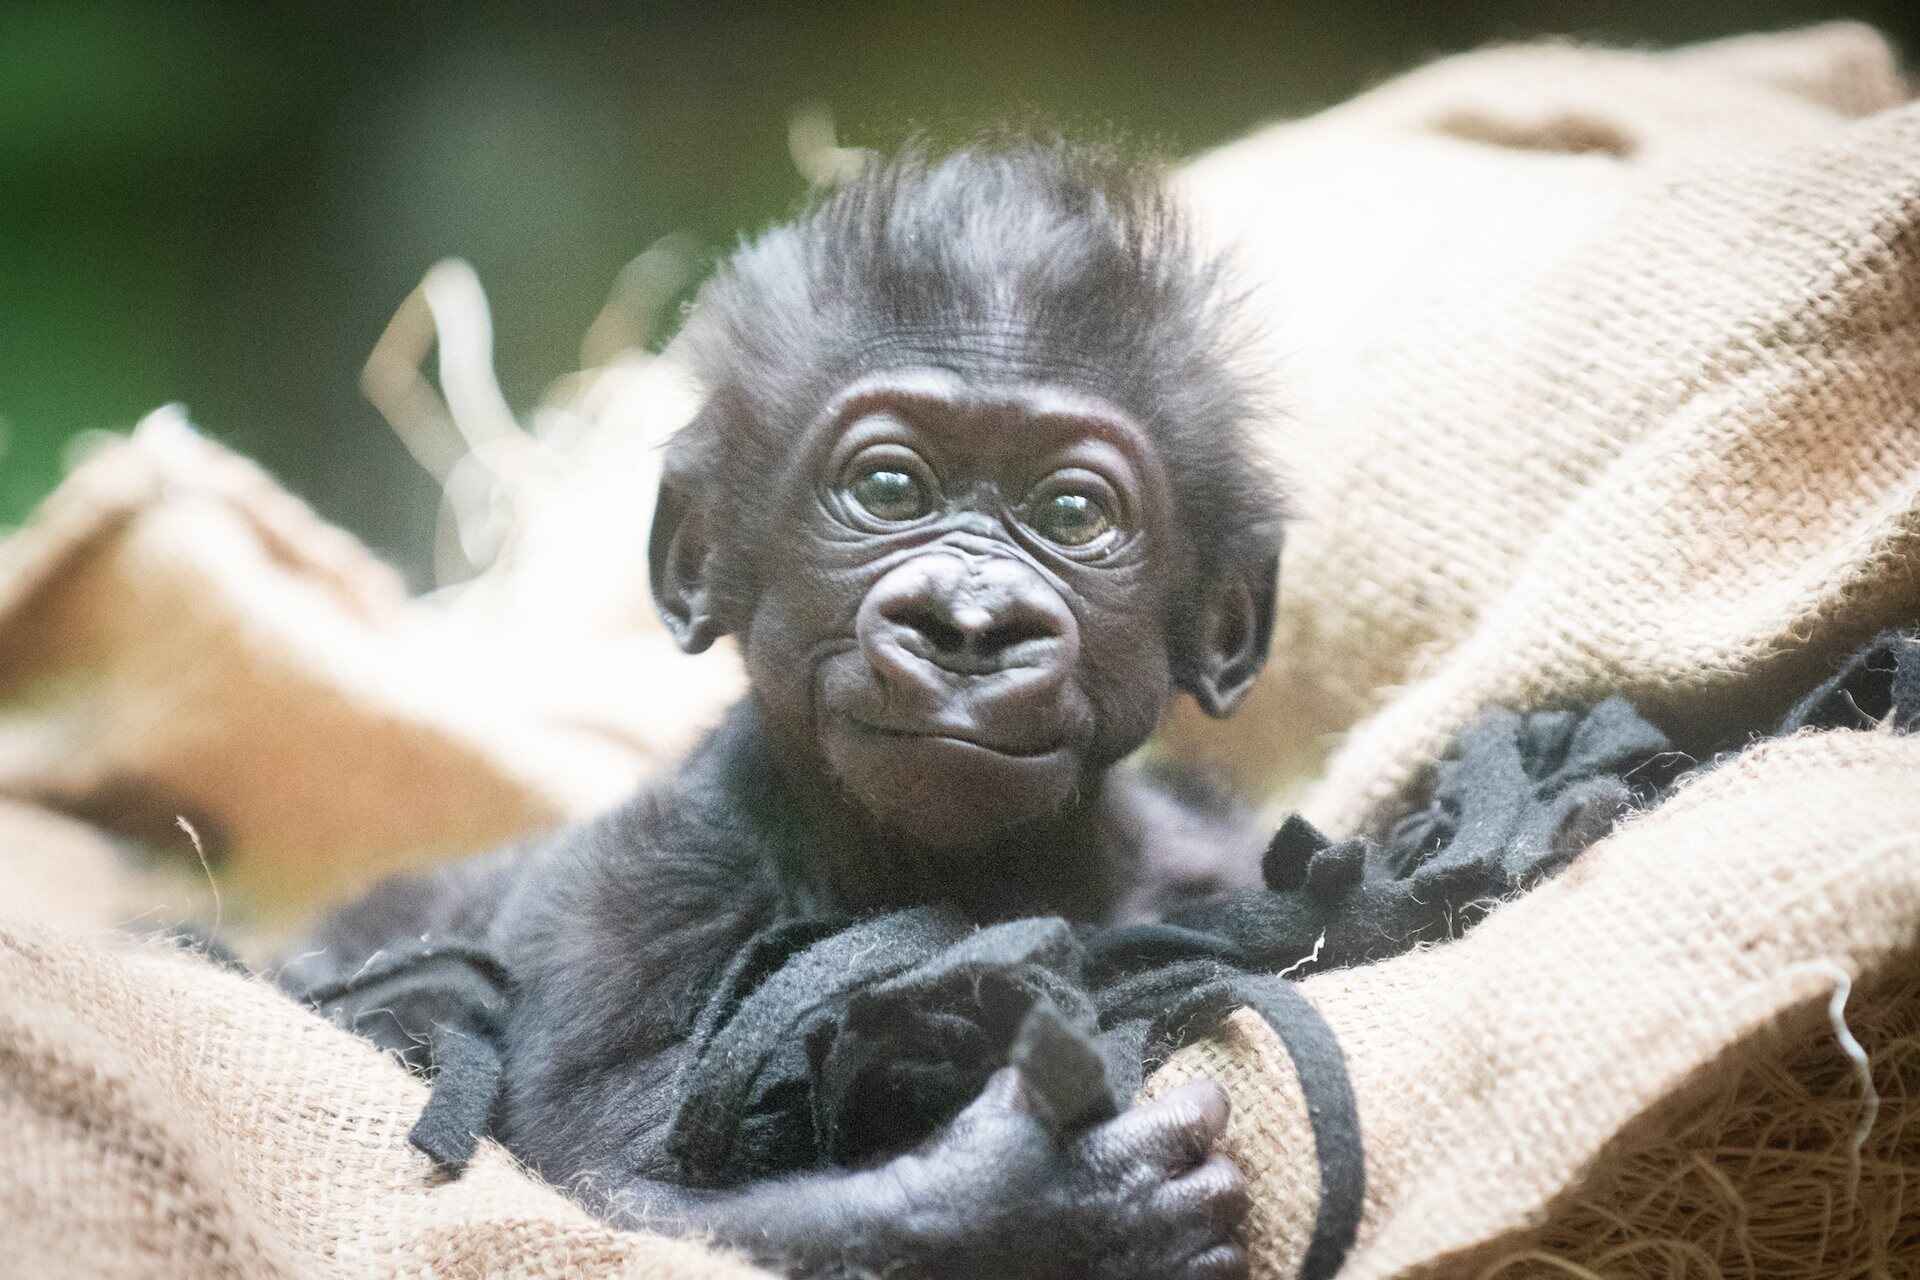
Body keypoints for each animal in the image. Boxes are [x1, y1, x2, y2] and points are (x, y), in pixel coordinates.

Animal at [286, 138, 1285, 1280]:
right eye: (889, 492)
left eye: (1073, 513)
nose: (967, 623)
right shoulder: (649, 881)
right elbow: (601, 1201)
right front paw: (1035, 1205)